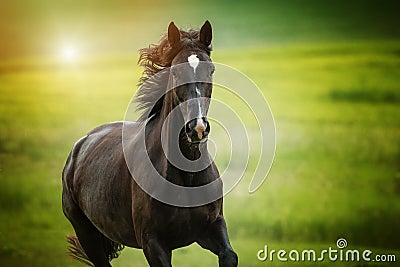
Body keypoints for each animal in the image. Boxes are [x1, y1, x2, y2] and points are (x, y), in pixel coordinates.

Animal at [62, 21, 238, 267]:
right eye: (175, 71)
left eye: (211, 70)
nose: (197, 128)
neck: (186, 175)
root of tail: (80, 147)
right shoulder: (153, 243)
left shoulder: (211, 228)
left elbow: (229, 255)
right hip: (87, 235)